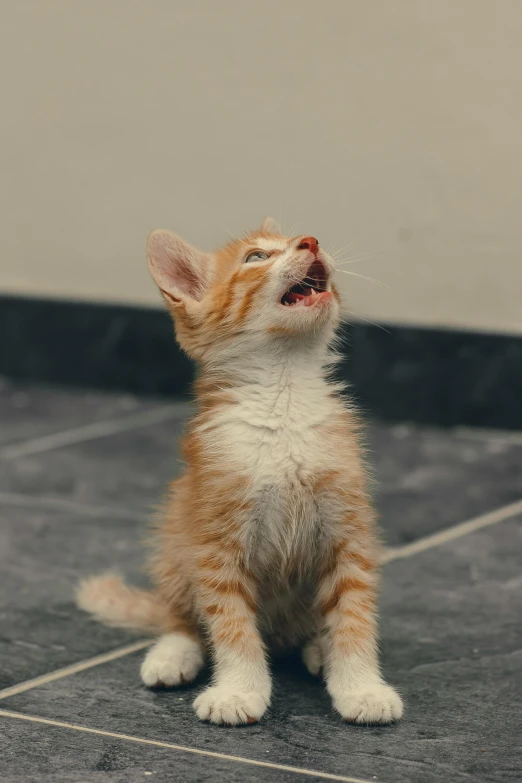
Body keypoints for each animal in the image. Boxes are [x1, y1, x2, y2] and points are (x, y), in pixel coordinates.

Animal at [78, 219, 402, 728]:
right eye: (255, 258)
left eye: (299, 240)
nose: (311, 241)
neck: (283, 395)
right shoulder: (214, 540)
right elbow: (230, 623)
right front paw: (239, 690)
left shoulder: (349, 533)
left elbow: (354, 614)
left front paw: (360, 686)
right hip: (174, 532)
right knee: (181, 617)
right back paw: (172, 653)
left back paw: (319, 649)